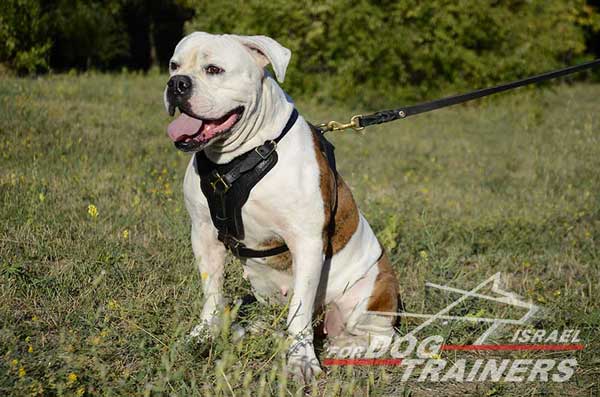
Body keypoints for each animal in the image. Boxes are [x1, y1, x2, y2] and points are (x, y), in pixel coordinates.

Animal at [164, 31, 398, 380]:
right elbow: (212, 293)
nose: (176, 84)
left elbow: (299, 311)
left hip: (372, 293)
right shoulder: (203, 234)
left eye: (214, 70)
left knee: (382, 339)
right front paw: (203, 334)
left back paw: (346, 348)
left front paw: (301, 360)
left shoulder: (307, 241)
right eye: (174, 65)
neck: (241, 157)